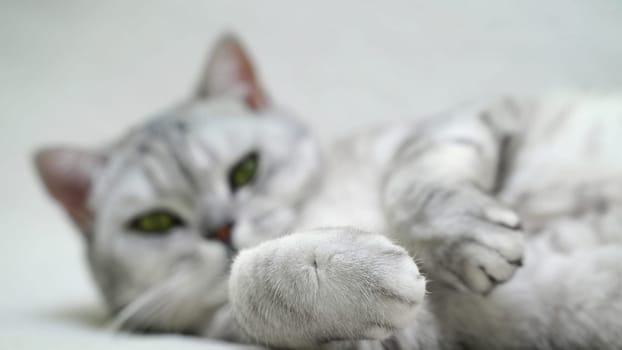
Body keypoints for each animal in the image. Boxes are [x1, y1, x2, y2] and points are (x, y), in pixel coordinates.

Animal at [34, 33, 622, 350]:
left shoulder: (465, 120)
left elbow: (414, 181)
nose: (221, 228)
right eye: (155, 223)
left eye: (245, 171)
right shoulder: (408, 332)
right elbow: (248, 280)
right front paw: (364, 269)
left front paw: (468, 239)